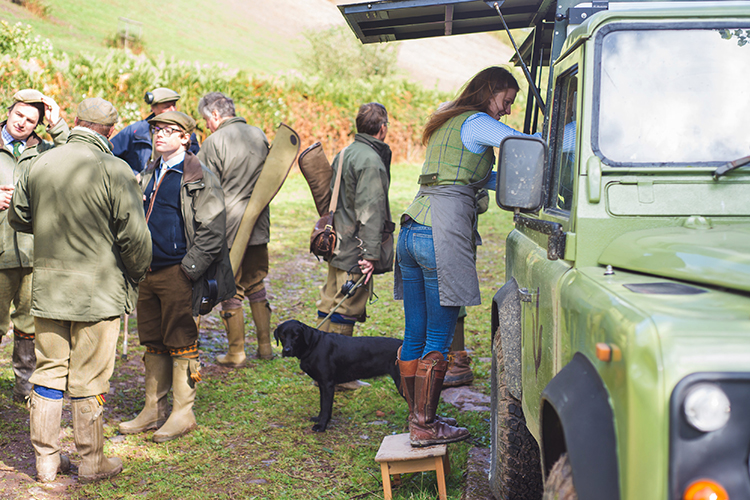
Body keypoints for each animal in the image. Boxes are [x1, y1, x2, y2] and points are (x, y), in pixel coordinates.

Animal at [274, 322, 406, 432]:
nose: (286, 350)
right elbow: (322, 405)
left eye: (296, 336)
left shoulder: (328, 384)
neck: (313, 345)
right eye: (282, 335)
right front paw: (319, 419)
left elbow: (326, 407)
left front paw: (321, 426)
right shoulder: (322, 384)